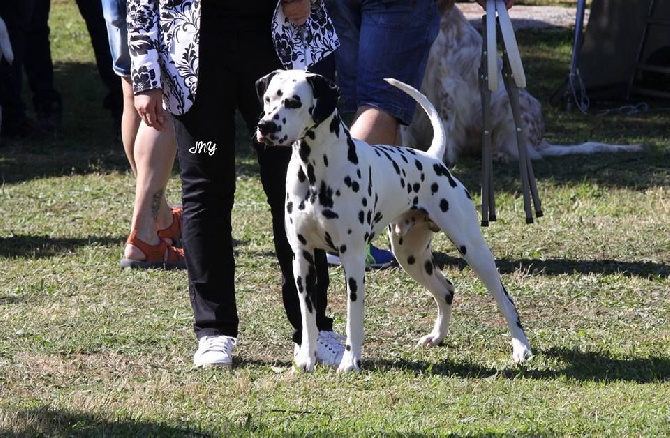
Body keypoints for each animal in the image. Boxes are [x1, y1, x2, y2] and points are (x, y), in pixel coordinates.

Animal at [255, 70, 532, 372]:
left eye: (294, 102)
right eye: (267, 99)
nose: (264, 126)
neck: (316, 172)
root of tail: (433, 158)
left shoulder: (352, 260)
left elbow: (353, 320)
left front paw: (350, 362)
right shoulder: (303, 260)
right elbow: (308, 318)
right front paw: (307, 359)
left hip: (474, 250)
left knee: (505, 299)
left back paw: (521, 347)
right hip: (410, 256)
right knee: (446, 290)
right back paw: (437, 337)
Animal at [404, 1, 644, 165]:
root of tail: (540, 142)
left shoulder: (447, 84)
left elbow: (445, 124)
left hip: (508, 105)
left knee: (527, 153)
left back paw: (502, 155)